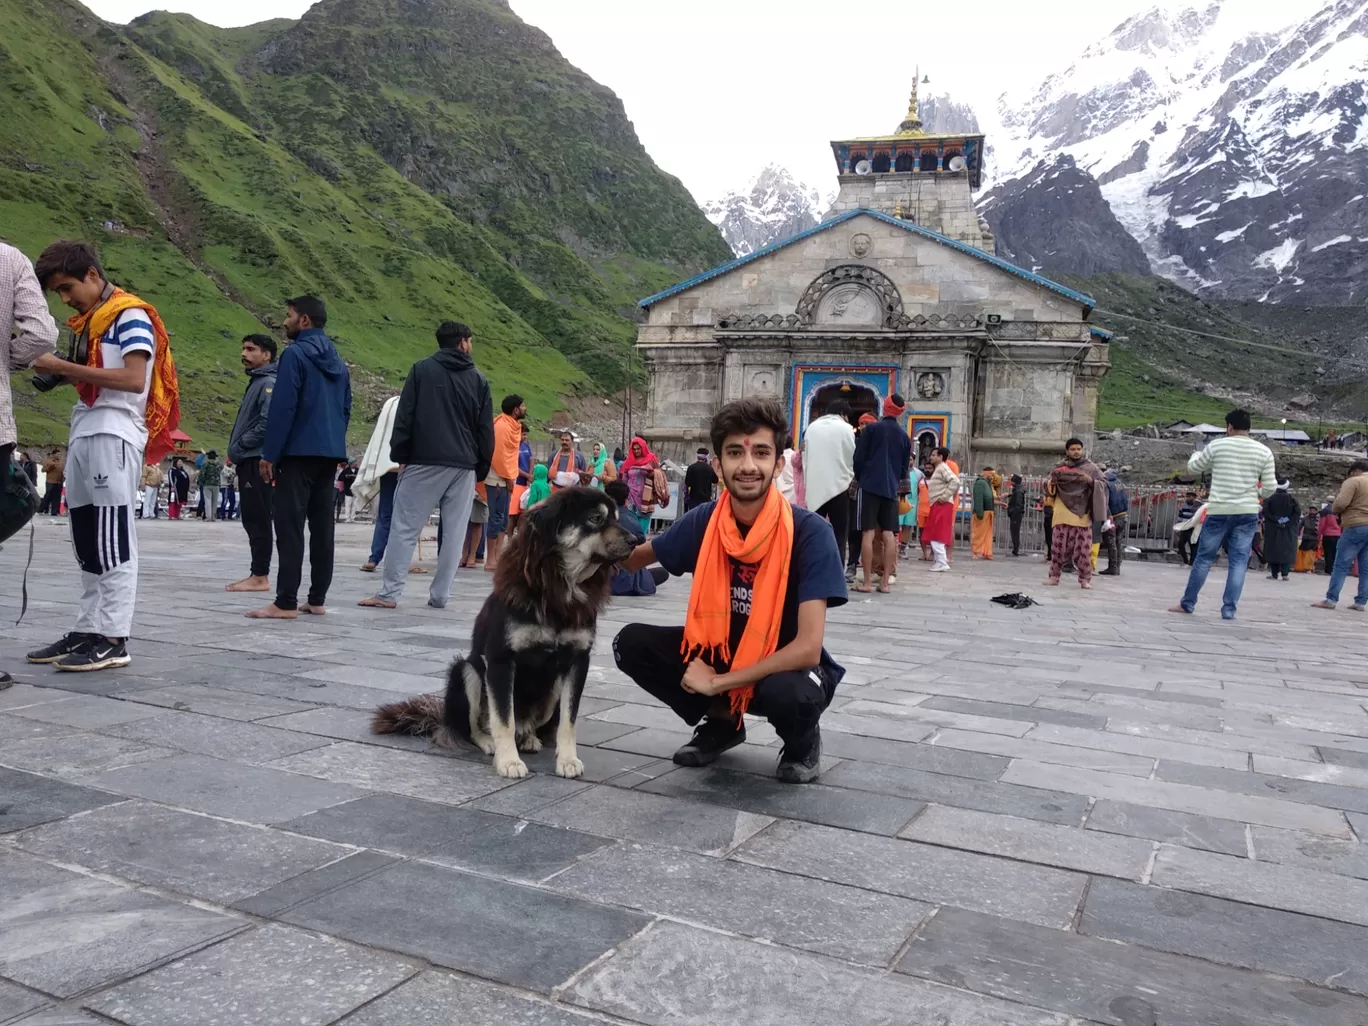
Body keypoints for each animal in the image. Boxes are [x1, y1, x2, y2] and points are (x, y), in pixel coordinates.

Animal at [369, 487, 634, 777]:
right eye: (595, 518)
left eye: (617, 518)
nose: (636, 540)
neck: (559, 589)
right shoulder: (501, 659)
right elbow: (504, 719)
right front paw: (508, 761)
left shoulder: (577, 661)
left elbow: (568, 721)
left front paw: (567, 760)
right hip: (467, 671)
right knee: (474, 726)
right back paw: (489, 742)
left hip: (551, 689)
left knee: (527, 723)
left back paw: (528, 738)